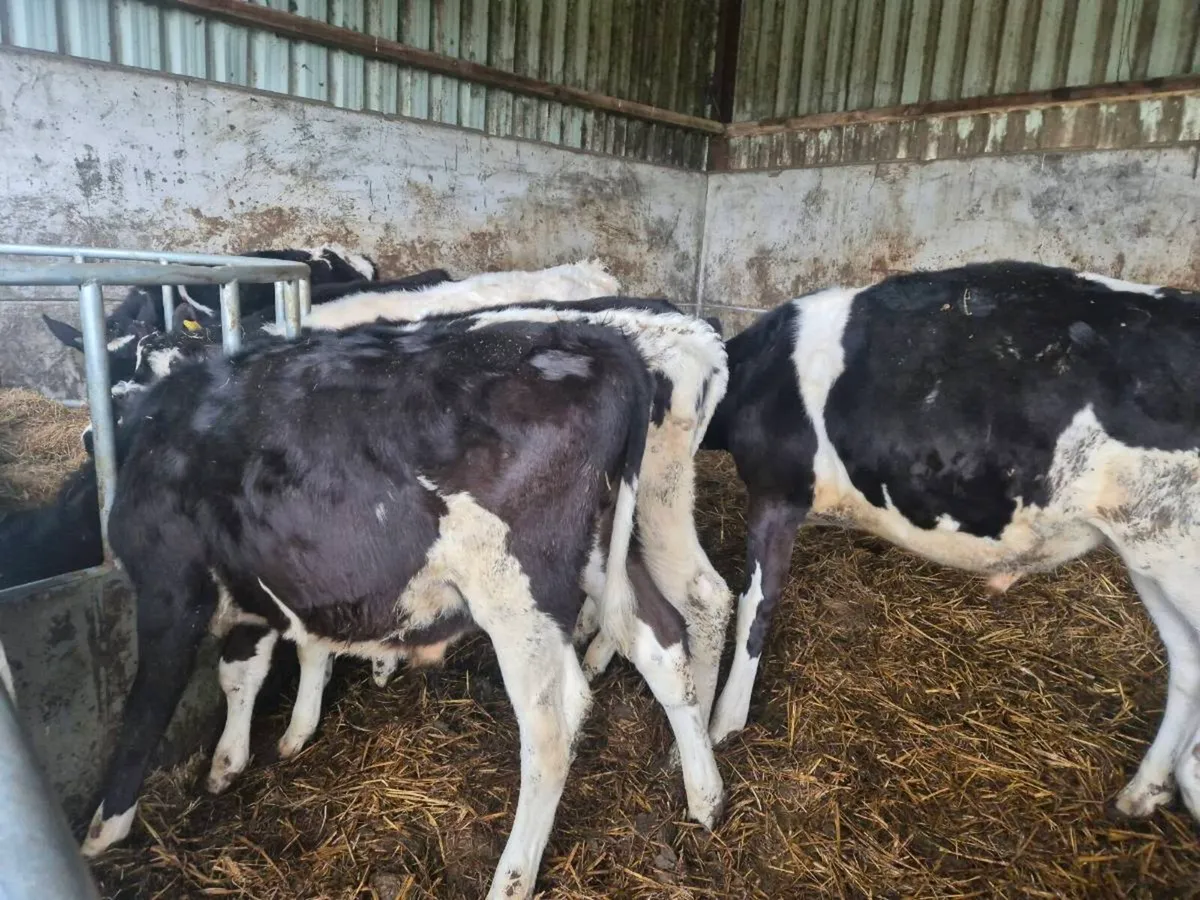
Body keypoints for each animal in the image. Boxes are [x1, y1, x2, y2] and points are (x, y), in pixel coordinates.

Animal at [78, 314, 725, 900]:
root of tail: (599, 343)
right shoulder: (255, 587)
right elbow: (242, 672)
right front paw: (235, 759)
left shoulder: (170, 588)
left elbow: (147, 707)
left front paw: (103, 830)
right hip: (597, 546)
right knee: (662, 642)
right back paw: (705, 794)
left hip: (514, 588)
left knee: (552, 731)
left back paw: (512, 878)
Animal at [694, 260, 1200, 825]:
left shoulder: (777, 491)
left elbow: (756, 607)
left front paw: (725, 723)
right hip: (1150, 551)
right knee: (1188, 663)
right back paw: (1144, 791)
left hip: (1174, 555)